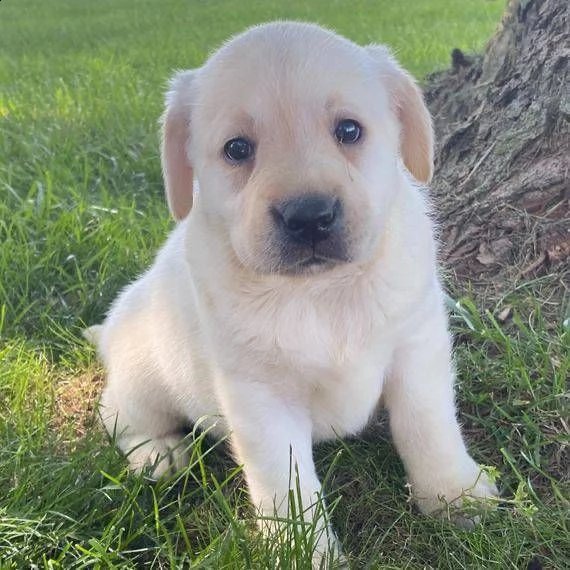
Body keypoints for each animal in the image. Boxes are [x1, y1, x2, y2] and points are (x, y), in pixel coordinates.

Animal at [86, 21, 494, 564]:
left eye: (349, 131)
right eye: (237, 149)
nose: (309, 216)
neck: (322, 292)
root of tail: (111, 331)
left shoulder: (417, 347)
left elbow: (428, 426)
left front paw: (454, 496)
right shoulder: (261, 397)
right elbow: (288, 487)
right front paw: (305, 554)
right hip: (144, 378)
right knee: (117, 415)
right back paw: (158, 453)